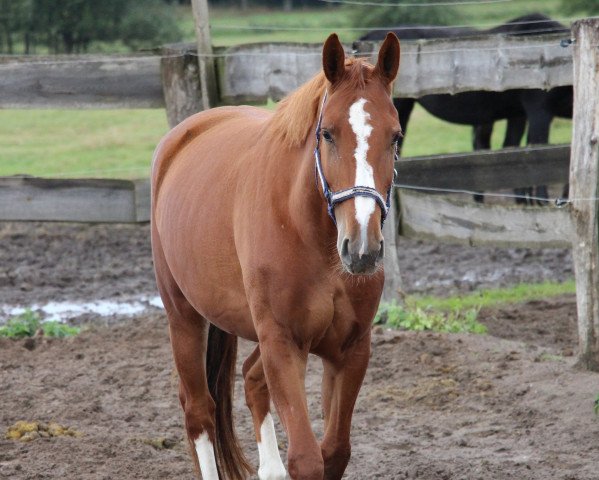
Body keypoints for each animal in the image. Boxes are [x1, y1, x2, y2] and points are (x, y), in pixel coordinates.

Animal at [152, 33, 400, 480]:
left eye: (395, 137)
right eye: (328, 134)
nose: (361, 248)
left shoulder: (350, 350)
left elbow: (334, 451)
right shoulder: (282, 344)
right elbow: (306, 458)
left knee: (250, 380)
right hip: (183, 316)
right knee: (199, 411)